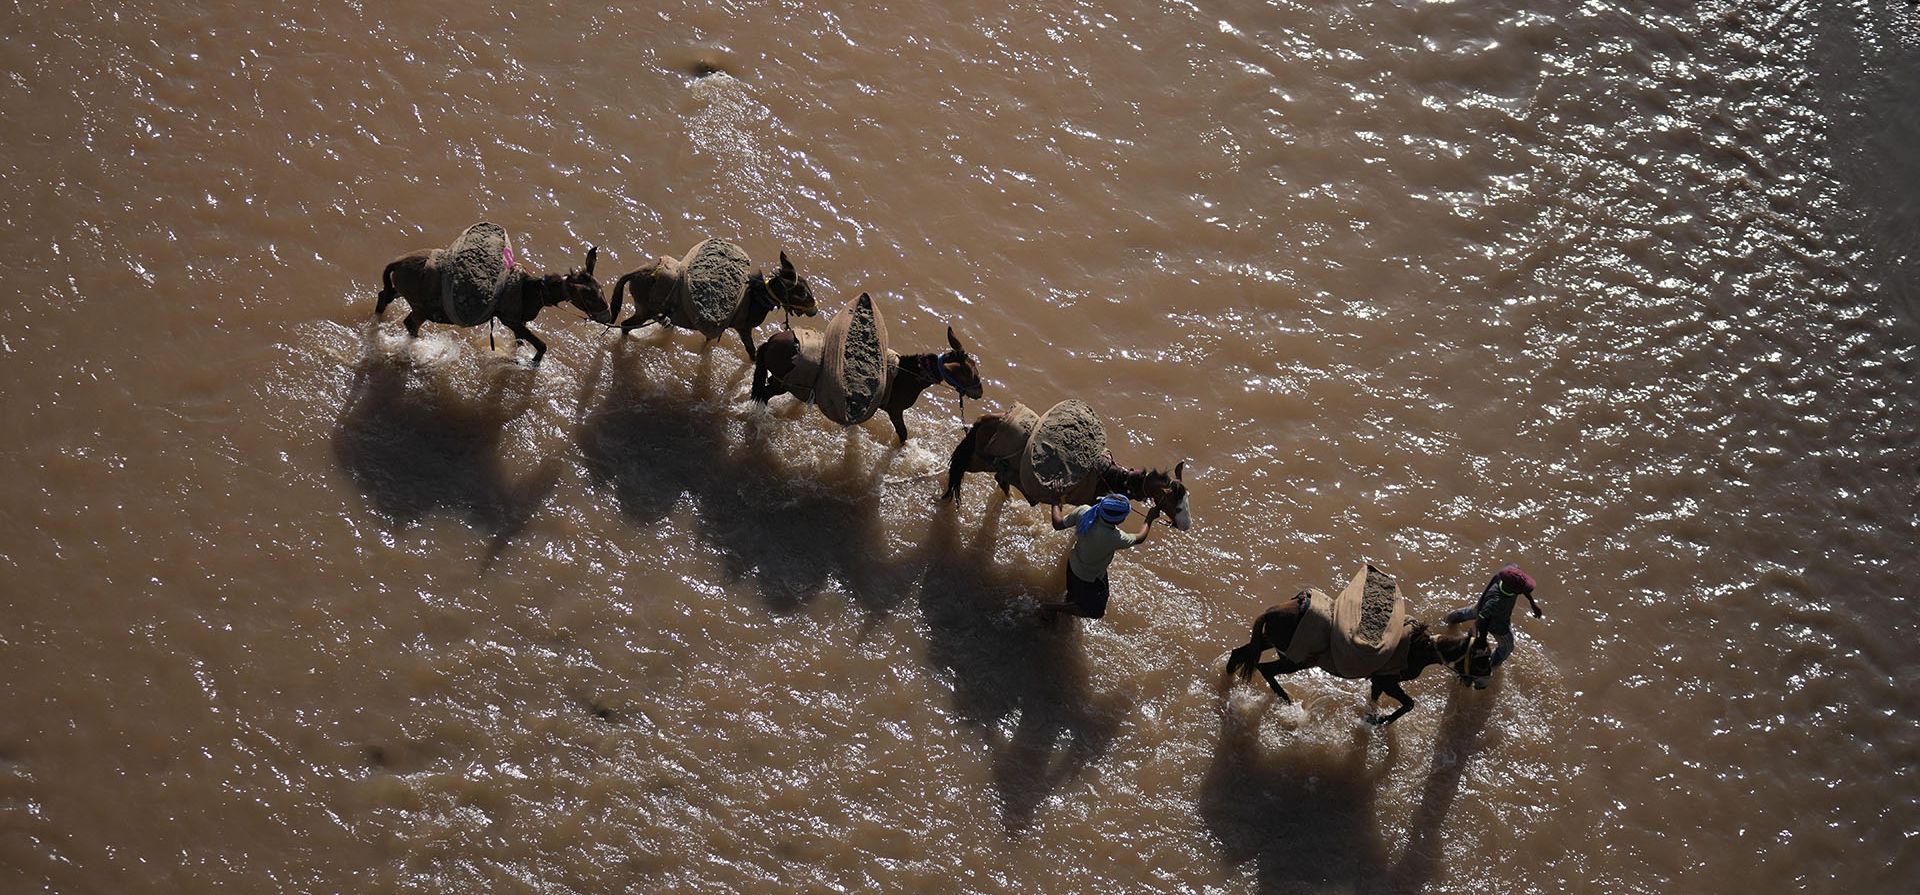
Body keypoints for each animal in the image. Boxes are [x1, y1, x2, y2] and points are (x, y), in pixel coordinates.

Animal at [375, 245, 609, 366]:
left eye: (601, 289)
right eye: (589, 295)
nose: (607, 315)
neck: (533, 292)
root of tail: (397, 262)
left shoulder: (518, 322)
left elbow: (521, 343)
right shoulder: (510, 319)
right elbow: (541, 345)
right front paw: (532, 362)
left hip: (402, 292)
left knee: (384, 296)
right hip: (422, 308)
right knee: (410, 323)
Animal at [605, 250, 818, 360]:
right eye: (802, 293)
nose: (815, 311)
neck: (755, 297)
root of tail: (638, 272)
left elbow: (708, 342)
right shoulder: (744, 328)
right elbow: (752, 353)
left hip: (646, 309)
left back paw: (664, 324)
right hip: (644, 309)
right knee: (625, 325)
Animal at [750, 326, 984, 445]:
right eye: (971, 372)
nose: (980, 392)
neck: (905, 375)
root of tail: (772, 340)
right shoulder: (895, 410)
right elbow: (903, 434)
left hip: (781, 380)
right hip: (782, 383)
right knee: (764, 394)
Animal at [940, 412, 1192, 530]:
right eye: (1178, 505)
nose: (1186, 525)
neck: (1110, 476)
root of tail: (986, 419)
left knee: (1000, 479)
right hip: (978, 460)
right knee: (960, 467)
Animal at [1223, 594, 1492, 726]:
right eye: (1483, 660)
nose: (1485, 683)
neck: (1418, 647)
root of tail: (1272, 610)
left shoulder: (1379, 681)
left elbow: (1375, 698)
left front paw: (1373, 716)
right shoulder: (1388, 681)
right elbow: (1408, 704)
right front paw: (1382, 720)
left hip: (1272, 641)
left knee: (1241, 653)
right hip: (1296, 660)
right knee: (1264, 668)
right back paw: (1287, 700)